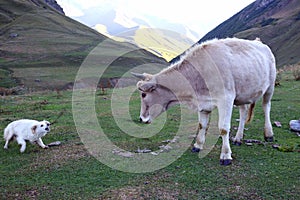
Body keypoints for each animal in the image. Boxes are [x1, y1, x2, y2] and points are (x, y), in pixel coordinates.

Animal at [133, 37, 276, 166]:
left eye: (144, 94)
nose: (141, 119)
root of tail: (259, 42)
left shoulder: (226, 98)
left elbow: (223, 129)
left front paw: (225, 155)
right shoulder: (203, 103)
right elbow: (202, 125)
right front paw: (197, 145)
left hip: (270, 86)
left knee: (266, 107)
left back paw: (269, 134)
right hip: (244, 93)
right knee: (243, 112)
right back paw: (238, 138)